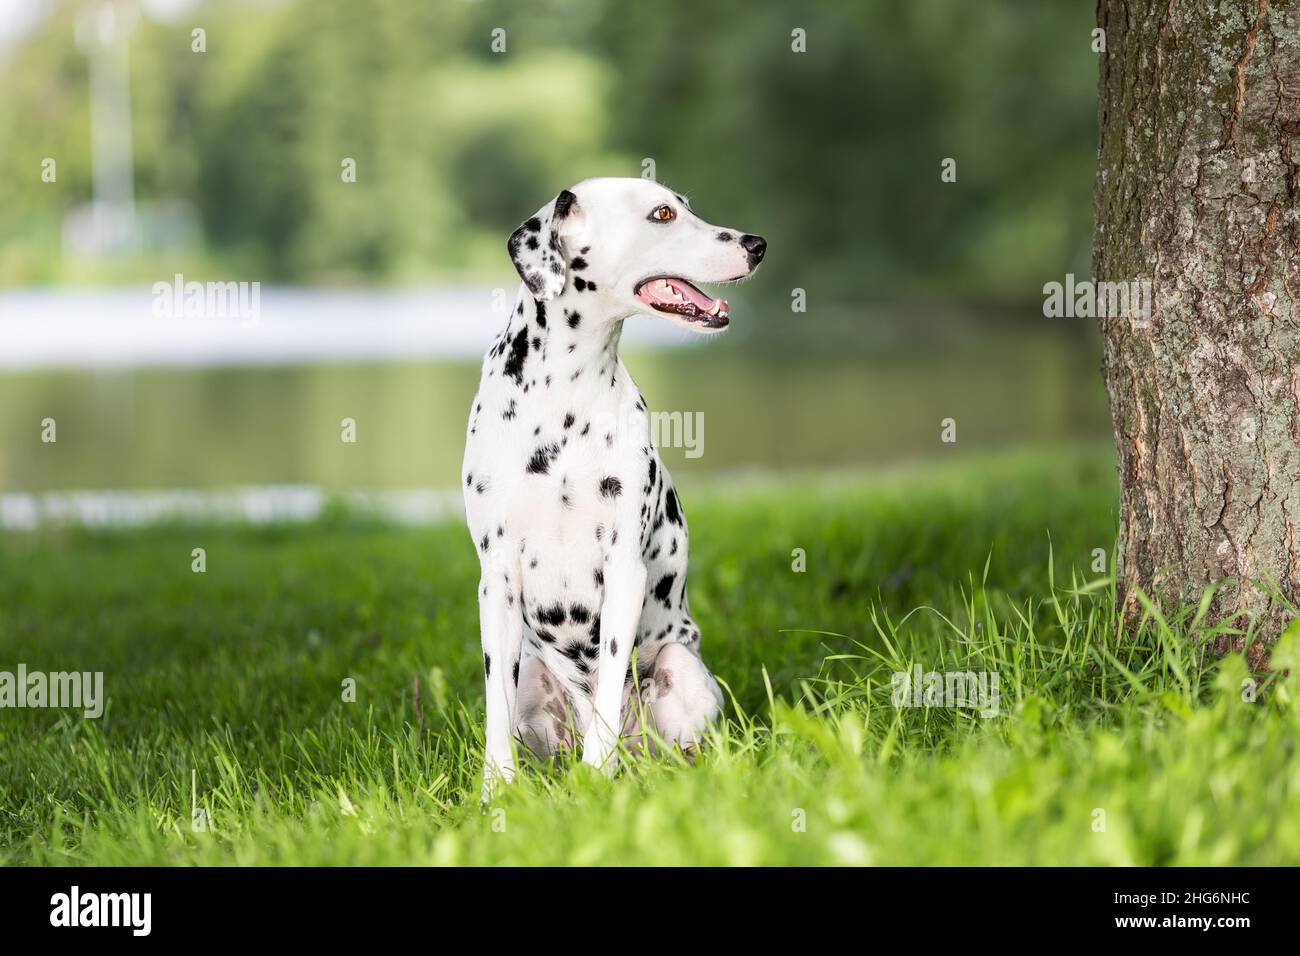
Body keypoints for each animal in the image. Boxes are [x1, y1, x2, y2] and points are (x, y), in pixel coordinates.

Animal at [465, 175, 759, 796]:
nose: (756, 244)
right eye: (663, 214)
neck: (564, 397)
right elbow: (495, 706)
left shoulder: (623, 570)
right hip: (534, 679)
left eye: (683, 206)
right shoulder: (496, 578)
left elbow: (606, 684)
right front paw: (495, 791)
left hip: (681, 669)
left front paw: (597, 777)